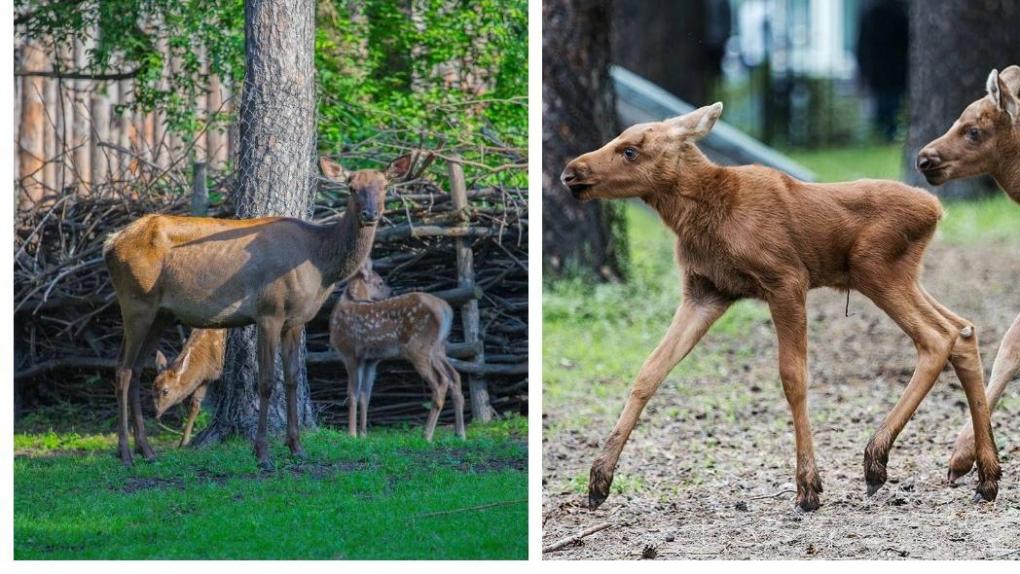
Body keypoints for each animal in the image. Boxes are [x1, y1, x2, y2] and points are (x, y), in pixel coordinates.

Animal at [103, 152, 418, 466]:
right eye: (351, 187)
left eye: (385, 185)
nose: (370, 214)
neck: (320, 267)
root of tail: (109, 244)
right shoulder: (269, 311)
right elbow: (266, 381)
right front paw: (263, 452)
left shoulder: (296, 320)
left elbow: (291, 378)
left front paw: (296, 446)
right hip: (136, 302)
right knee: (123, 370)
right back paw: (126, 453)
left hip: (161, 313)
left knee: (137, 368)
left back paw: (147, 450)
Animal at [330, 258, 467, 440]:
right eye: (380, 282)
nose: (391, 291)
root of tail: (446, 310)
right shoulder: (370, 359)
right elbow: (365, 395)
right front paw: (363, 434)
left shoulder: (350, 352)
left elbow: (352, 394)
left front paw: (351, 434)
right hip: (439, 348)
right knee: (454, 377)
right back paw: (460, 433)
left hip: (418, 347)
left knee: (440, 382)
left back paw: (427, 435)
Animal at [563, 101, 999, 511]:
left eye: (630, 150)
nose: (571, 172)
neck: (701, 219)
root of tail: (936, 210)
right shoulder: (706, 292)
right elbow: (649, 371)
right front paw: (598, 480)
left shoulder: (786, 279)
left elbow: (793, 377)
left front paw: (808, 486)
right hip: (900, 275)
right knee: (962, 330)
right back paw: (986, 474)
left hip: (875, 269)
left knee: (936, 337)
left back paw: (877, 459)